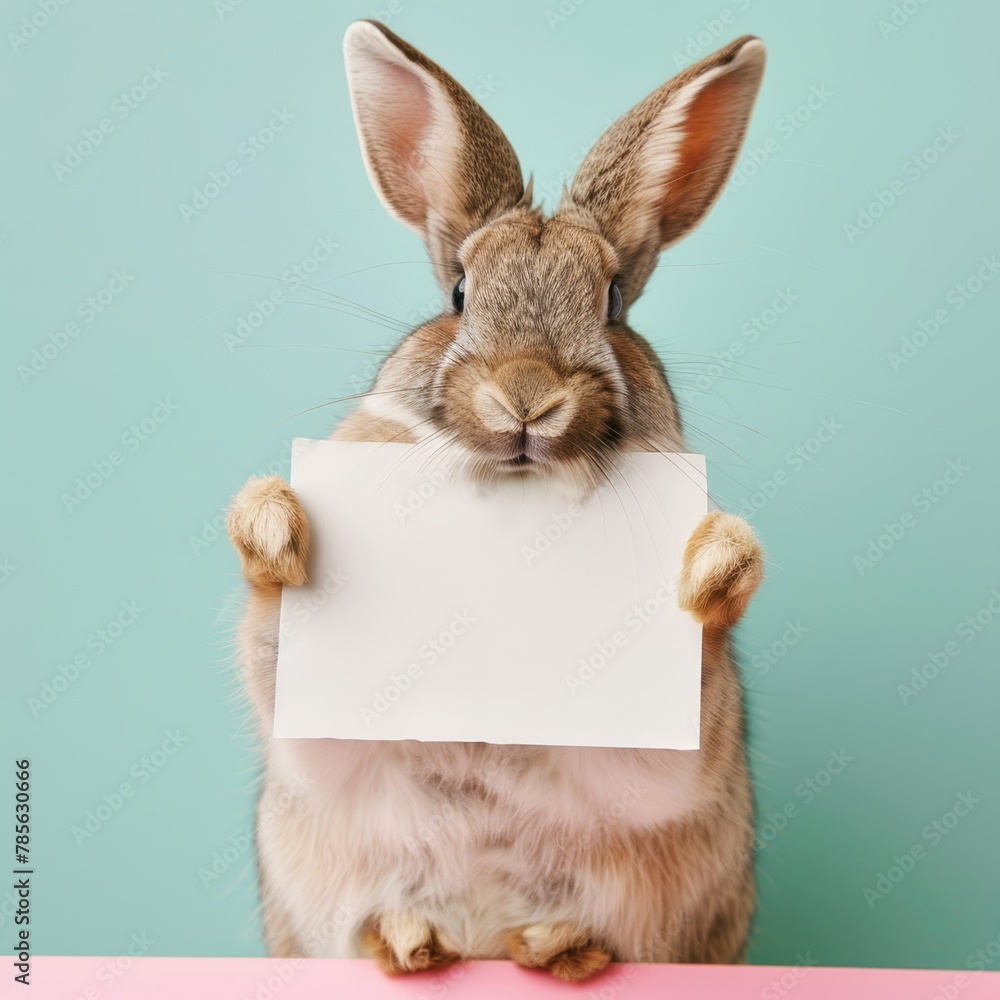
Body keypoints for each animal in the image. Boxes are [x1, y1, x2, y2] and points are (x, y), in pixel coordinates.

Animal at [227, 19, 766, 982]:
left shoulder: (669, 758)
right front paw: (273, 526)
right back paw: (412, 939)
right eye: (458, 292)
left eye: (613, 300)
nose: (526, 395)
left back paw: (553, 944)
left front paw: (716, 567)